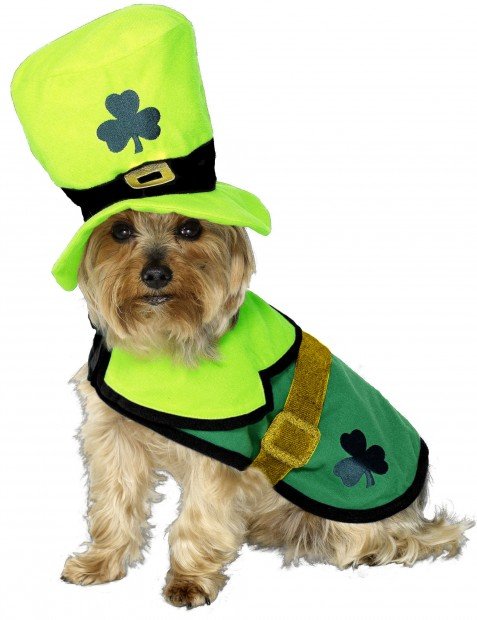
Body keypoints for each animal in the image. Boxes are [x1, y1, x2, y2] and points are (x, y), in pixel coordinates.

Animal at [60, 209, 472, 609]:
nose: (156, 274)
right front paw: (101, 562)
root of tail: (415, 515)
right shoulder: (114, 437)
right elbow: (114, 502)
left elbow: (199, 518)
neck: (164, 336)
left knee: (389, 543)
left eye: (191, 229)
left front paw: (190, 581)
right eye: (120, 231)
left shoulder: (220, 458)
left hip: (355, 522)